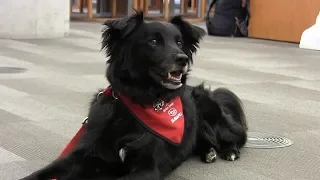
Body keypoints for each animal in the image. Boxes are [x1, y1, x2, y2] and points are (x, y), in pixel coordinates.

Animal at [21, 10, 248, 179]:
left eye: (179, 42)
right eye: (153, 41)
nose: (182, 59)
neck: (138, 103)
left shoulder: (148, 168)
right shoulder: (87, 152)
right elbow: (46, 171)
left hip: (211, 113)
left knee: (239, 136)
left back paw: (228, 151)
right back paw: (209, 151)